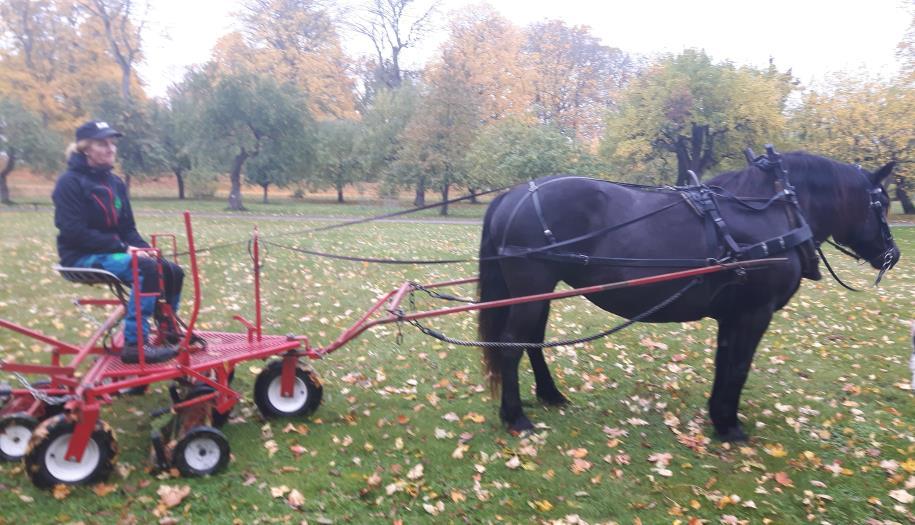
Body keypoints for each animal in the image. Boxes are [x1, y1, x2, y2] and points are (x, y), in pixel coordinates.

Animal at [480, 150, 900, 438]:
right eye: (881, 202)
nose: (893, 255)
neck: (772, 213)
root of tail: (511, 195)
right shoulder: (755, 312)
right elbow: (740, 365)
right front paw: (730, 426)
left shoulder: (734, 313)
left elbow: (725, 361)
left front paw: (719, 417)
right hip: (532, 288)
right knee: (512, 345)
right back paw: (515, 416)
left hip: (537, 293)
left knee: (532, 341)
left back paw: (551, 395)